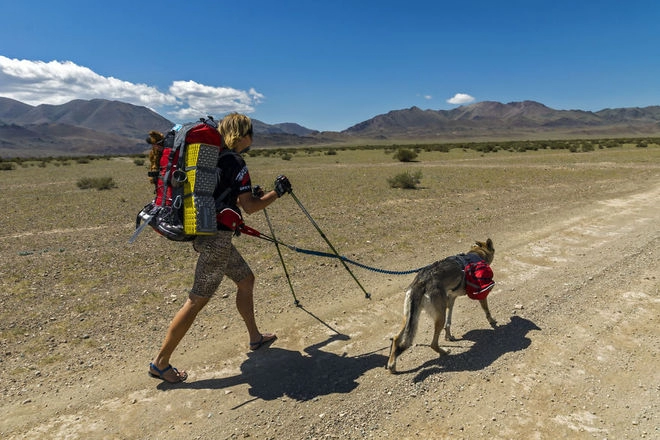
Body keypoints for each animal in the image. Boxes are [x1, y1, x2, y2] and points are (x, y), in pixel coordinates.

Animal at [386, 239, 496, 372]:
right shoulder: (480, 294)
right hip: (439, 317)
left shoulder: (451, 299)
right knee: (433, 344)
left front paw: (449, 336)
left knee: (396, 338)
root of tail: (421, 281)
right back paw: (444, 351)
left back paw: (392, 365)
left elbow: (449, 322)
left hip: (409, 317)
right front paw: (492, 321)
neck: (476, 254)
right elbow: (486, 310)